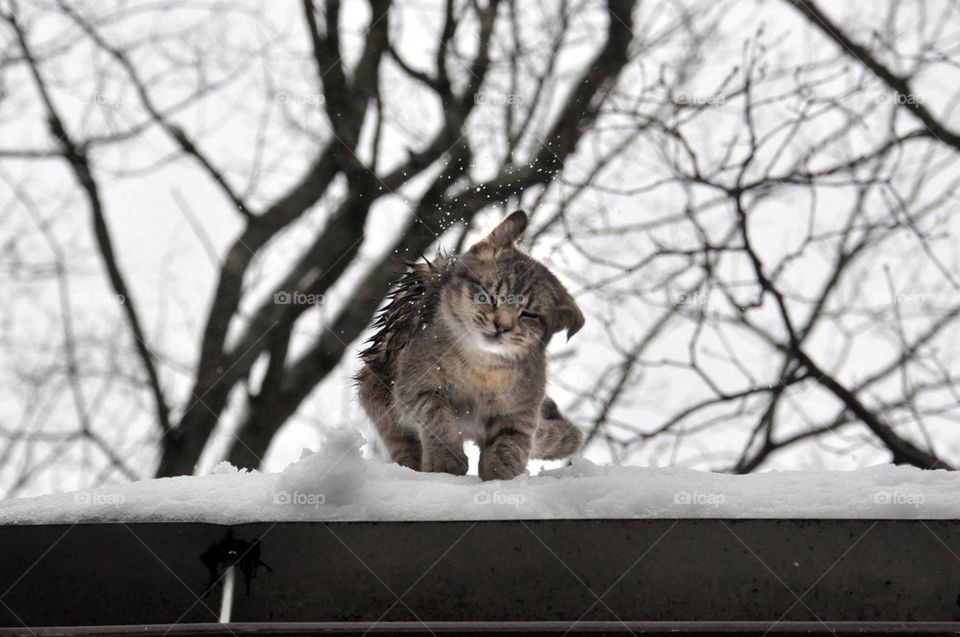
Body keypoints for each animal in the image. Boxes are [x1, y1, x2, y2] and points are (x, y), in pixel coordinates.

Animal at [356, 211, 584, 480]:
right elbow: (438, 417)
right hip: (375, 389)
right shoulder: (414, 389)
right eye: (489, 295)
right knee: (403, 441)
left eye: (528, 314)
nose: (502, 325)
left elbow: (510, 446)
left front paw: (499, 476)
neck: (482, 370)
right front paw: (447, 462)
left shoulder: (521, 414)